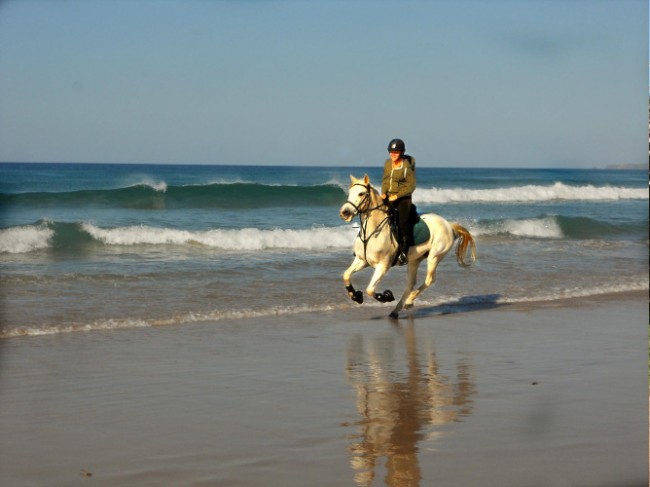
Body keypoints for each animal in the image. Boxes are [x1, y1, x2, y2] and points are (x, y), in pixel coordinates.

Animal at [339, 174, 476, 319]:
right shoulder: (362, 260)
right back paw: (396, 310)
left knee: (429, 280)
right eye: (349, 192)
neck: (373, 231)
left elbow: (370, 289)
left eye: (361, 193)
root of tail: (449, 225)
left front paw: (386, 296)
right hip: (414, 260)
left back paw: (409, 302)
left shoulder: (383, 265)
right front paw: (356, 296)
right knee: (411, 284)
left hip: (434, 256)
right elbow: (346, 275)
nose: (344, 212)